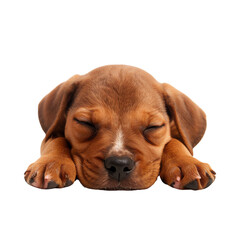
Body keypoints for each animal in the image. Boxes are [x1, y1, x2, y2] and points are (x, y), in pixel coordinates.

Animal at [24, 64, 216, 190]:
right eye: (85, 123)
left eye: (153, 127)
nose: (119, 165)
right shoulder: (52, 133)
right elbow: (57, 141)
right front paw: (51, 164)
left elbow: (176, 142)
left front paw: (188, 164)